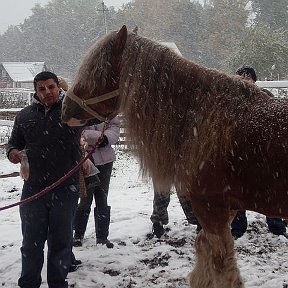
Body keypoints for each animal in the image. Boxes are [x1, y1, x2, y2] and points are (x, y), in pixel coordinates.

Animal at [62, 25, 288, 286]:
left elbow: (222, 266)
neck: (206, 119)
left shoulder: (211, 208)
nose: (64, 110)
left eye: (97, 71)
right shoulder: (228, 208)